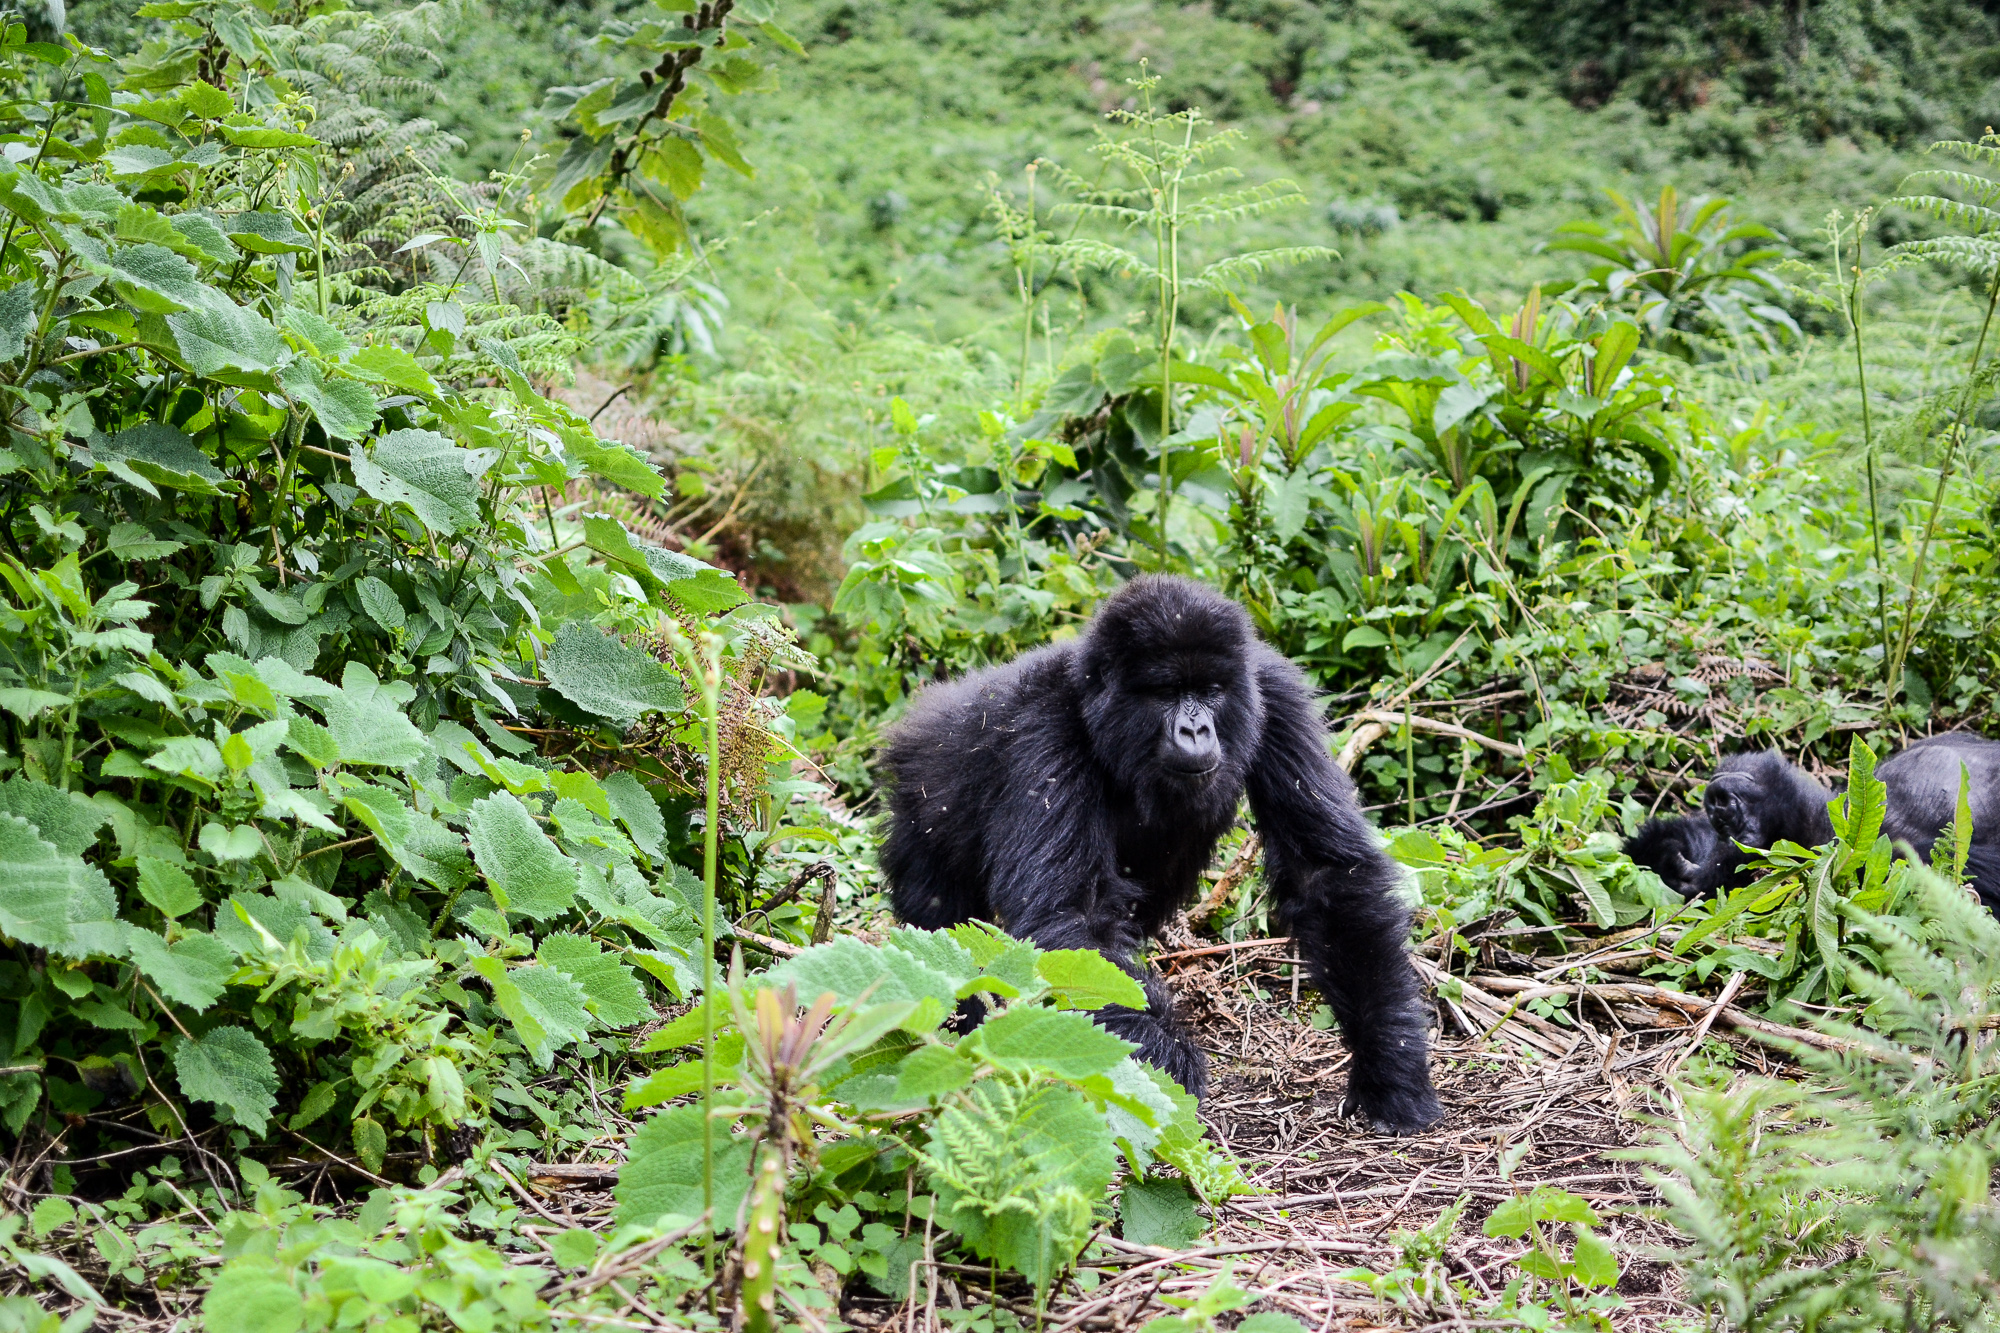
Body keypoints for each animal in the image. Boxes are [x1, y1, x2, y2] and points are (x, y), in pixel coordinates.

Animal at [876, 576, 1440, 1128]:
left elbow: (1325, 873)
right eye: (1167, 693)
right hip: (917, 810)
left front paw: (1391, 1069)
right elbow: (1073, 924)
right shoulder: (1044, 728)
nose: (1195, 729)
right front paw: (1166, 1071)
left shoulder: (1275, 695)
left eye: (1210, 691)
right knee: (942, 931)